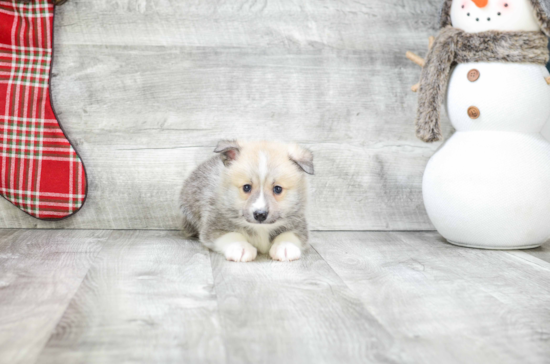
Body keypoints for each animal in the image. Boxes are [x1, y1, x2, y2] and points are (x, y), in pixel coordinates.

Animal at [181, 139, 314, 262]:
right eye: (246, 187)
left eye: (277, 189)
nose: (260, 214)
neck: (261, 228)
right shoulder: (214, 227)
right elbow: (231, 235)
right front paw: (241, 247)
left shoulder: (299, 225)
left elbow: (289, 235)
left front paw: (285, 246)